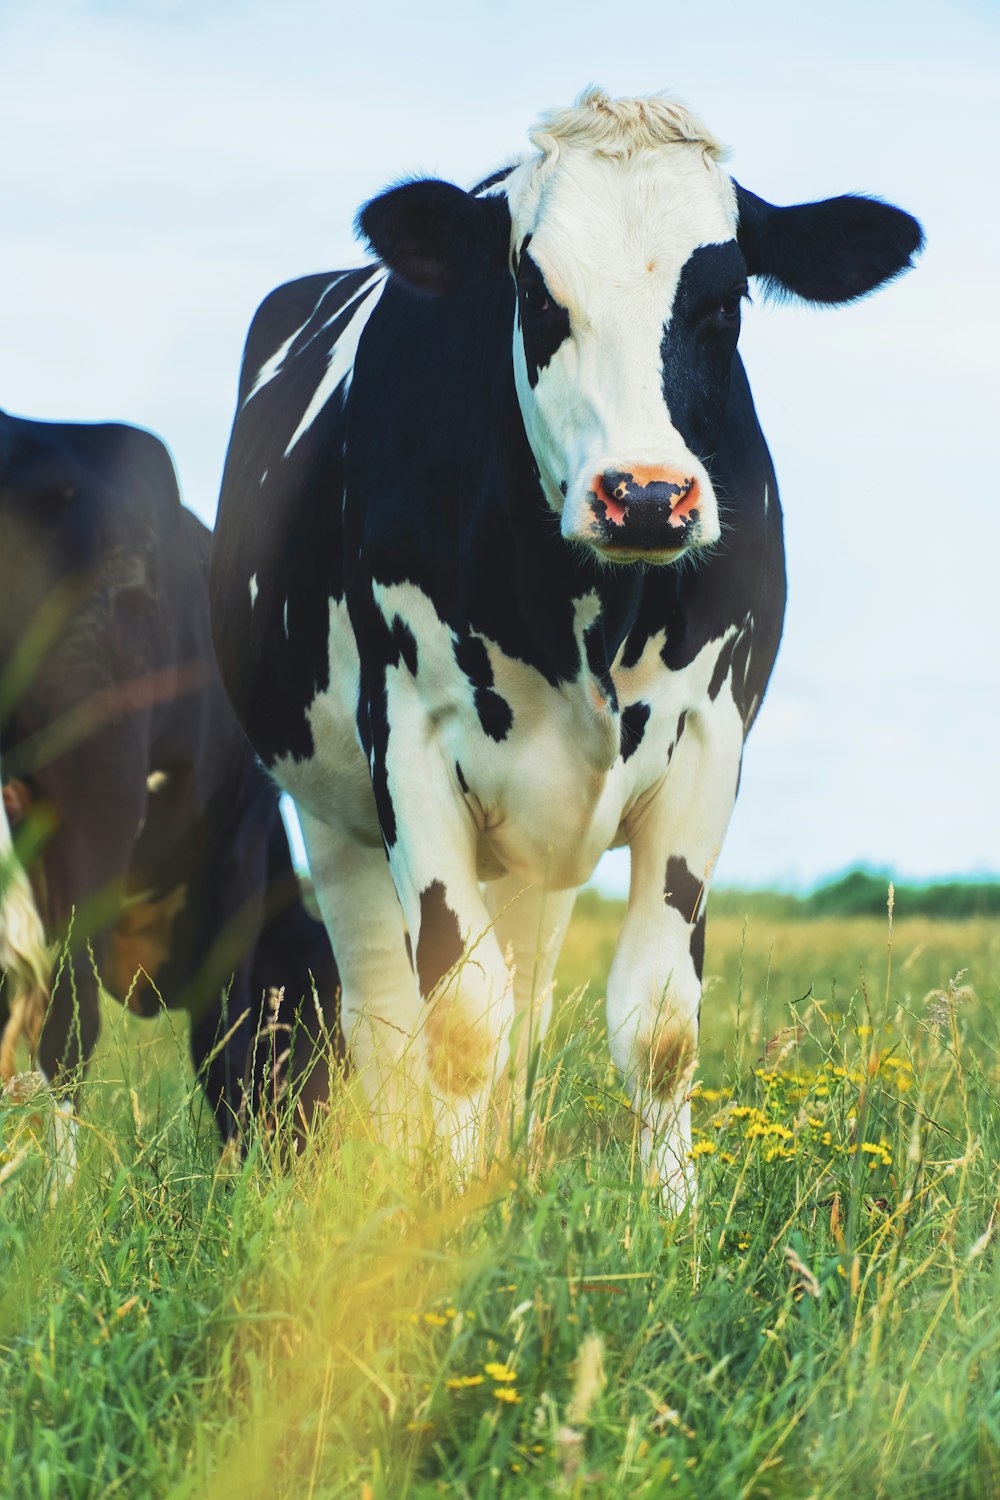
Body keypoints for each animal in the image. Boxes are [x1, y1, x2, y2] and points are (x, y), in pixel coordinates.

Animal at [0, 405, 340, 1152]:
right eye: (324, 1021)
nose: (312, 1149)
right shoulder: (241, 847)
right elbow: (226, 1036)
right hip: (96, 795)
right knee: (70, 1028)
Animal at [211, 85, 923, 1206]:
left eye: (726, 302)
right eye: (537, 297)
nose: (646, 495)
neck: (586, 613)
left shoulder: (709, 741)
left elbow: (659, 1024)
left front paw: (668, 1219)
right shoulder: (407, 743)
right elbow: (459, 1021)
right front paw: (444, 1214)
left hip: (531, 854)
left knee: (526, 999)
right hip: (329, 809)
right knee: (385, 1018)